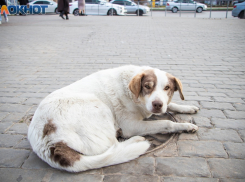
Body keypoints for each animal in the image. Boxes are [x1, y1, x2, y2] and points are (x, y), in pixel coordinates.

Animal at [27, 65, 199, 172]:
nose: (157, 104)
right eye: (147, 86)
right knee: (114, 145)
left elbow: (171, 105)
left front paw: (188, 108)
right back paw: (136, 141)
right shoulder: (132, 125)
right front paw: (185, 126)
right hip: (99, 107)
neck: (134, 96)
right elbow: (166, 122)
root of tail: (48, 143)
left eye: (167, 88)